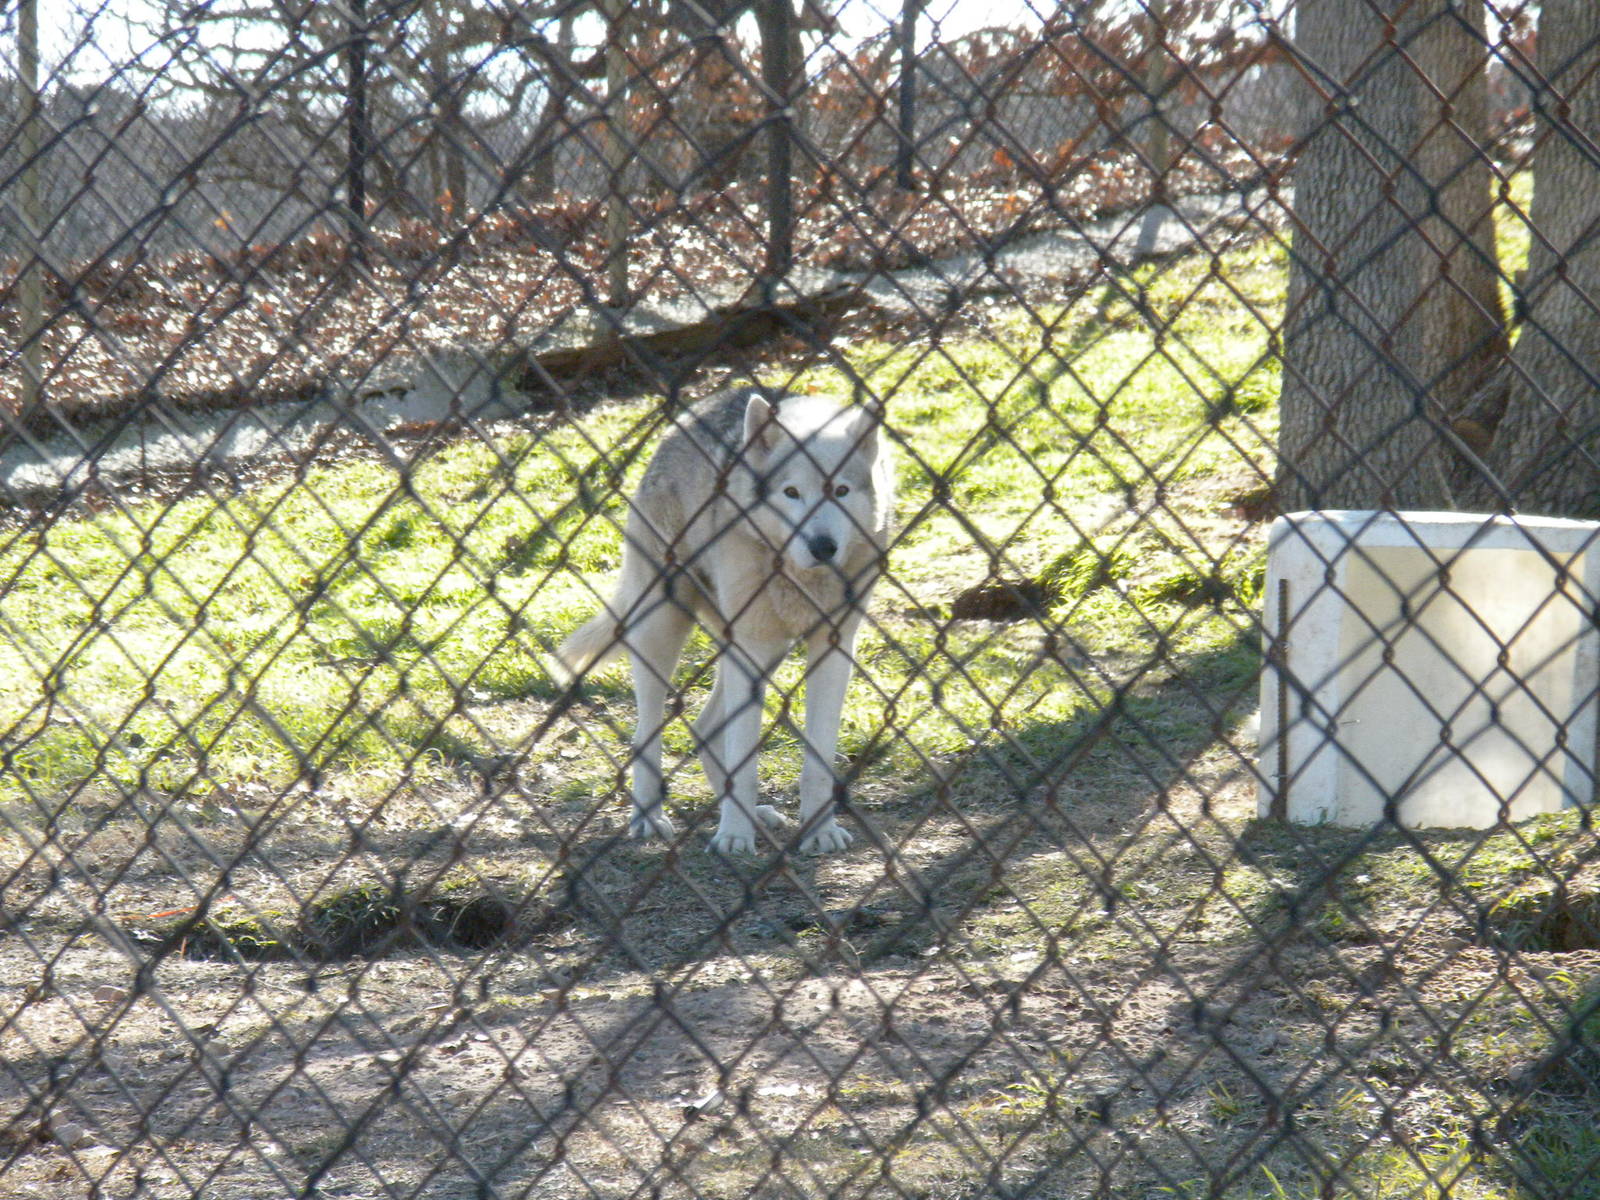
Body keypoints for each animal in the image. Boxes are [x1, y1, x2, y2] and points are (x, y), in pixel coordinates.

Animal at [556, 386, 893, 855]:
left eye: (840, 490)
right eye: (791, 492)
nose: (822, 546)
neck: (796, 574)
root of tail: (686, 419)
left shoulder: (832, 648)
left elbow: (817, 761)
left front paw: (819, 831)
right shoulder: (747, 647)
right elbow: (744, 761)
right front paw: (734, 836)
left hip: (764, 652)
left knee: (703, 728)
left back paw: (757, 815)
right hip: (665, 630)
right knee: (646, 733)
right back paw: (649, 817)